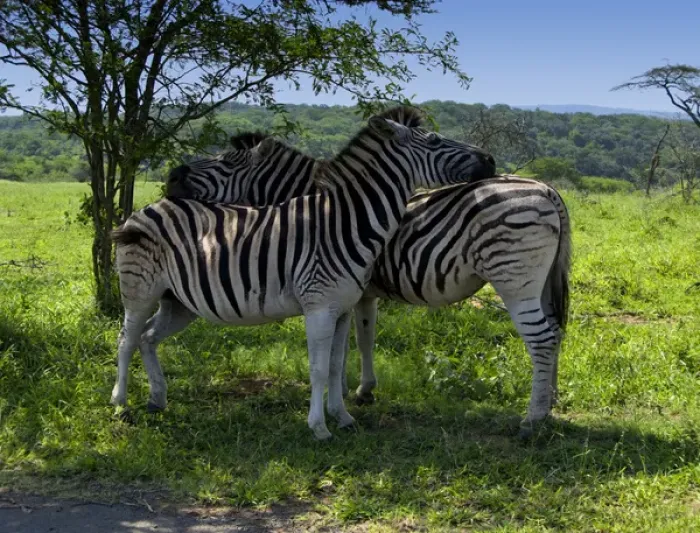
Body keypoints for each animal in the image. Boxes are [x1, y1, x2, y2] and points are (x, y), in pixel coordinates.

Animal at [111, 107, 496, 440]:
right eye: (434, 141)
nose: (490, 160)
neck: (344, 222)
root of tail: (144, 209)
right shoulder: (319, 307)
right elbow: (319, 368)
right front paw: (319, 426)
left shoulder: (342, 309)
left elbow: (337, 365)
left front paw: (343, 416)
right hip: (139, 290)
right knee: (127, 339)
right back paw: (120, 405)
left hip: (178, 302)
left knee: (147, 337)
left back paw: (157, 399)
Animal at [165, 119, 571, 437]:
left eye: (224, 161)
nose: (171, 177)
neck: (333, 211)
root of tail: (546, 188)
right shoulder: (358, 292)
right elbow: (360, 339)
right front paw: (354, 391)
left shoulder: (349, 290)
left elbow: (349, 345)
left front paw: (349, 393)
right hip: (542, 284)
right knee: (555, 332)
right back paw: (549, 401)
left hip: (515, 280)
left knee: (540, 338)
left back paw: (532, 418)